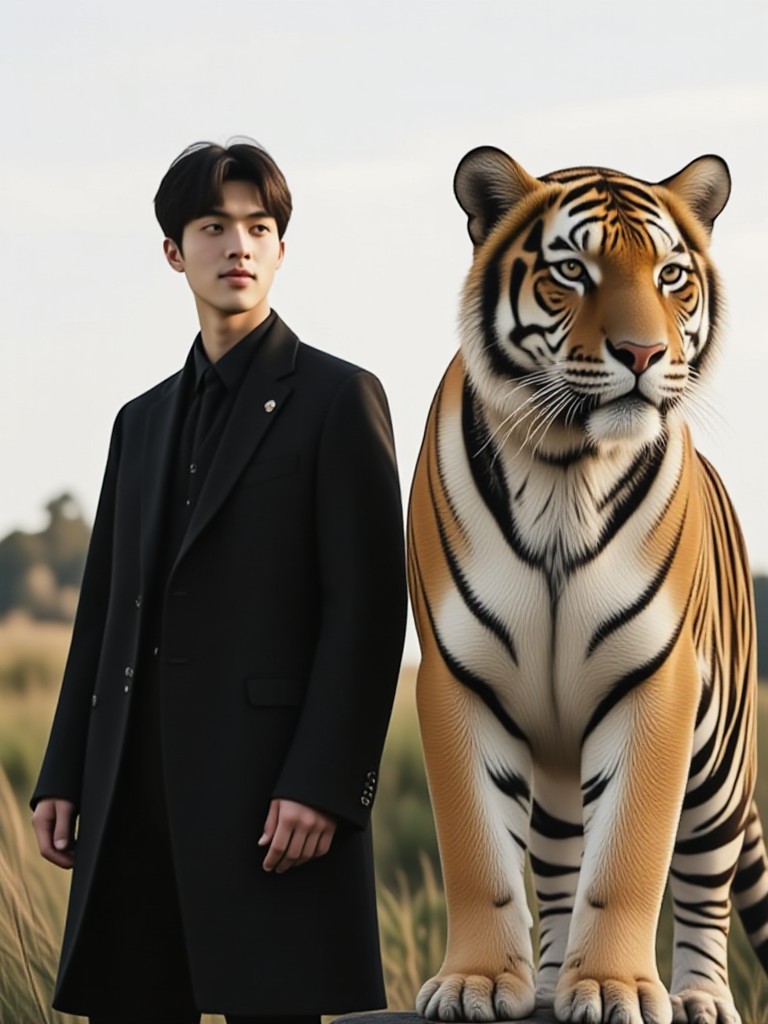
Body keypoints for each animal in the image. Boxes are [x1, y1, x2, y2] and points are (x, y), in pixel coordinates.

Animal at [407, 147, 768, 1024]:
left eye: (671, 275)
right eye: (572, 270)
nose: (642, 354)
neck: (564, 469)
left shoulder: (656, 684)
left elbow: (628, 861)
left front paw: (612, 989)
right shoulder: (457, 678)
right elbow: (480, 855)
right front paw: (476, 982)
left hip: (719, 763)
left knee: (704, 883)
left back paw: (700, 997)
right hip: (558, 757)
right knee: (556, 858)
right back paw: (543, 981)